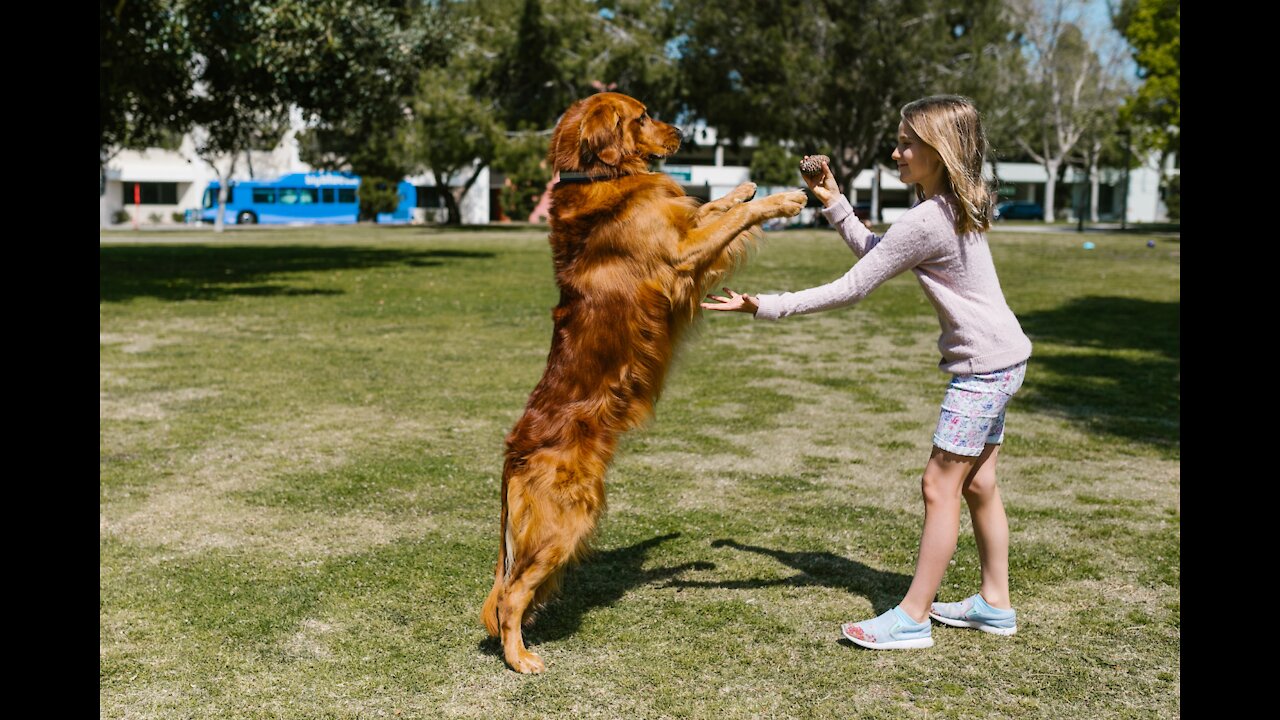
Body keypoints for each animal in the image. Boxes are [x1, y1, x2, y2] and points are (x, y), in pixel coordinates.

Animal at [481, 92, 798, 671]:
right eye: (644, 115)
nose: (683, 134)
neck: (598, 174)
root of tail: (513, 451)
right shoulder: (682, 252)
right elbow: (736, 217)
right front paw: (782, 199)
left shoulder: (684, 231)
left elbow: (711, 207)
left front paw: (741, 187)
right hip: (568, 521)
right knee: (511, 595)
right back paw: (520, 658)